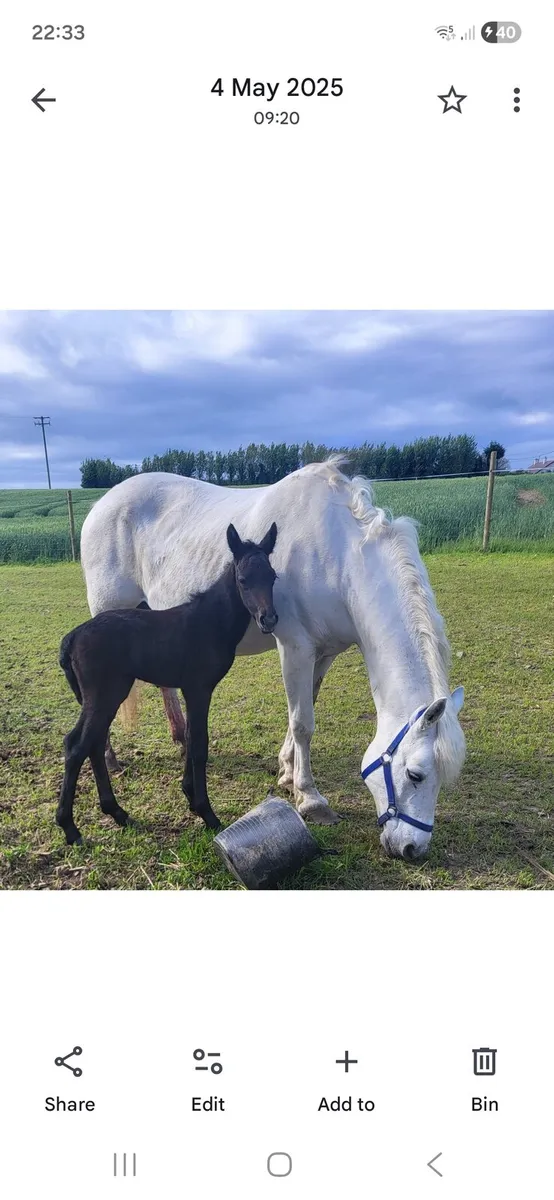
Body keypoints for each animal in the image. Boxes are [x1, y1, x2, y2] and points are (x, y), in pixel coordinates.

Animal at [57, 523, 278, 845]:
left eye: (272, 577)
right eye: (243, 580)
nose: (268, 619)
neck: (209, 621)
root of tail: (72, 638)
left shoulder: (192, 690)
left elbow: (189, 737)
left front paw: (190, 797)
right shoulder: (199, 688)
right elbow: (198, 743)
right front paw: (207, 813)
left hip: (103, 698)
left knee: (94, 744)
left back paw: (117, 812)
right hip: (103, 696)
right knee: (76, 745)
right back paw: (70, 828)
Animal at [81, 459, 466, 861]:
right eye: (415, 774)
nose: (412, 848)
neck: (339, 556)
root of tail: (101, 506)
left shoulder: (324, 653)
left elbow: (305, 707)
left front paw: (286, 772)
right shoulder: (295, 647)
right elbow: (303, 723)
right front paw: (310, 798)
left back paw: (181, 737)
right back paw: (110, 758)